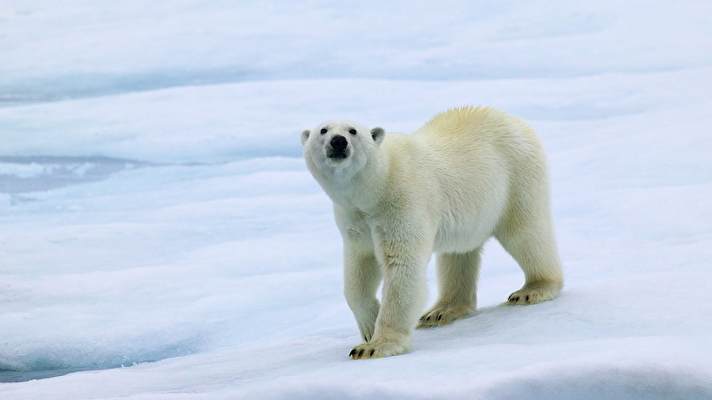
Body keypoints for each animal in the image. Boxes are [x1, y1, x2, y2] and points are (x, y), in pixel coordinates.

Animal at [298, 106, 560, 360]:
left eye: (353, 131)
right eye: (323, 130)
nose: (338, 141)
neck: (376, 187)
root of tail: (514, 120)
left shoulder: (402, 203)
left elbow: (402, 267)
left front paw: (374, 347)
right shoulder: (354, 218)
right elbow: (359, 268)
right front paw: (369, 325)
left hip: (517, 177)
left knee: (525, 234)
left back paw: (533, 289)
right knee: (458, 254)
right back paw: (441, 311)